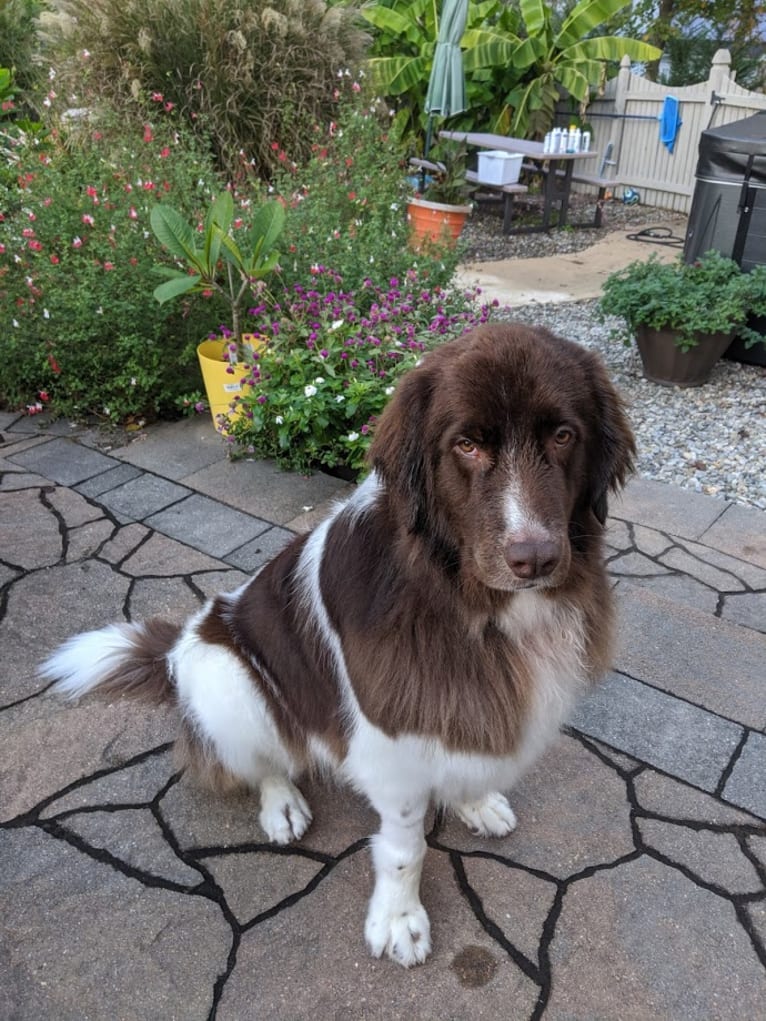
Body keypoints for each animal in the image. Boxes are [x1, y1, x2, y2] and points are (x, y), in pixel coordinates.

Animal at [40, 322, 637, 967]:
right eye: (467, 445)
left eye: (563, 435)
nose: (535, 558)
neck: (467, 603)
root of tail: (177, 646)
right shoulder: (391, 739)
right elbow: (405, 847)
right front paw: (399, 919)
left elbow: (465, 754)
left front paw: (474, 801)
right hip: (225, 676)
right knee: (263, 760)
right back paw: (282, 806)